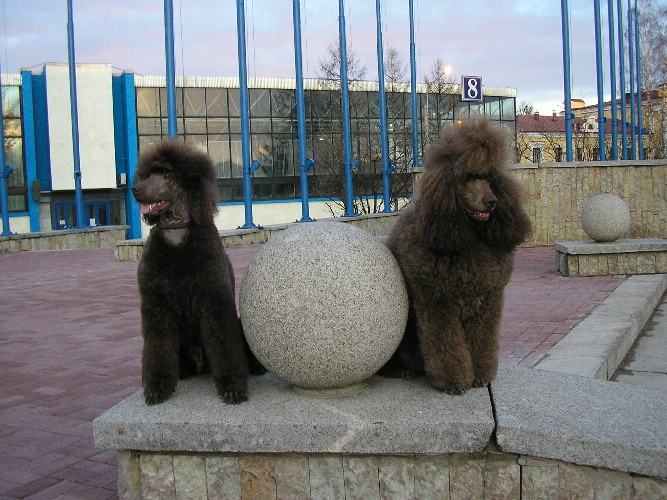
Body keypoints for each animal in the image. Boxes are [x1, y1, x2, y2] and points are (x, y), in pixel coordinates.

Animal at [132, 140, 253, 405]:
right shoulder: (155, 304)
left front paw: (232, 387)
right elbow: (156, 345)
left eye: (167, 175)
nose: (135, 189)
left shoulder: (215, 300)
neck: (177, 234)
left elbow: (223, 342)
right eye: (149, 174)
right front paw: (156, 387)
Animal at [378, 119, 532, 394]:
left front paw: (480, 375)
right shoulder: (437, 300)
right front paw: (453, 381)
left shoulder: (488, 300)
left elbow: (482, 341)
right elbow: (445, 343)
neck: (467, 237)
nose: (492, 201)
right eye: (468, 177)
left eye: (489, 178)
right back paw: (403, 371)